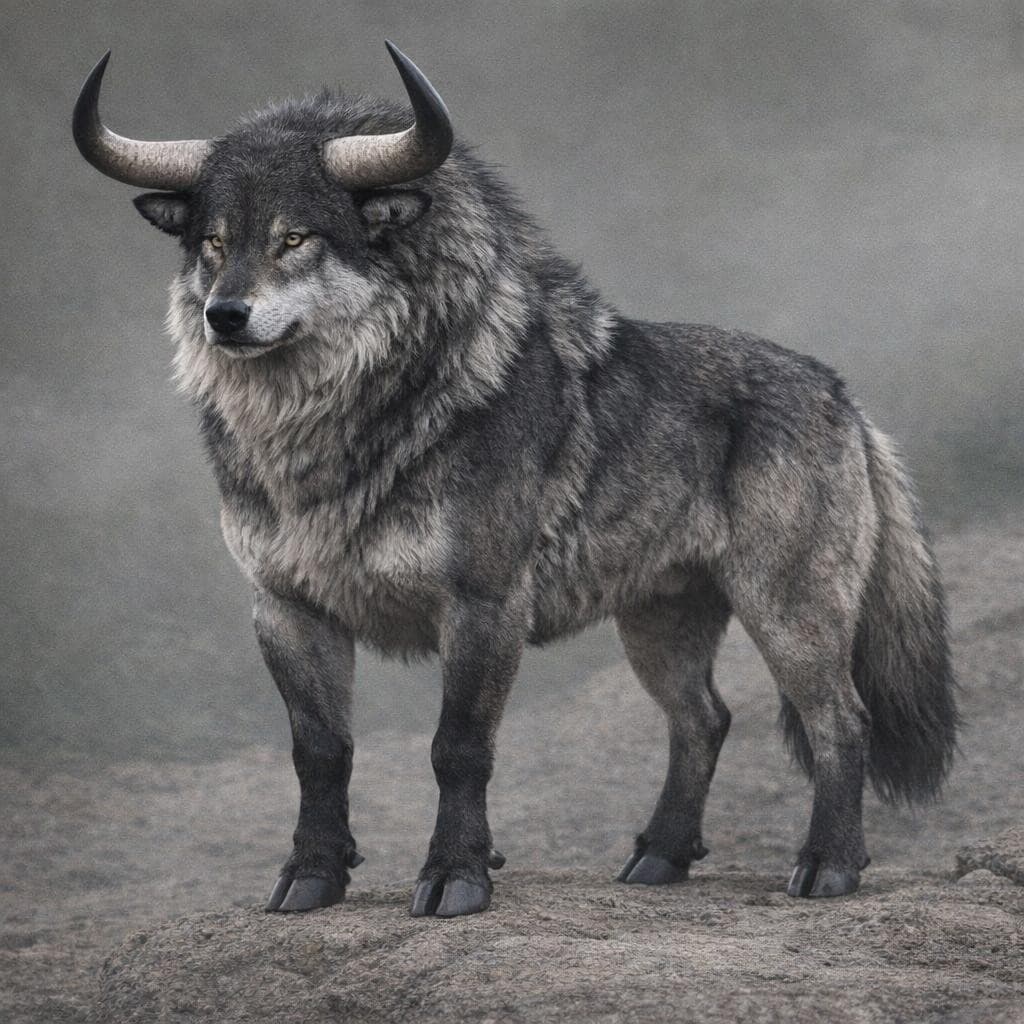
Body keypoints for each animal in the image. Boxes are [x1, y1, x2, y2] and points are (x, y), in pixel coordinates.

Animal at [73, 42, 958, 918]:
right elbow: (320, 751)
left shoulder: (483, 606)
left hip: (789, 614)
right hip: (659, 626)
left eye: (296, 238)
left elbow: (458, 747)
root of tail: (842, 394)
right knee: (704, 719)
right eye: (213, 242)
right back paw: (658, 860)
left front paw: (455, 877)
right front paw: (311, 878)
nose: (225, 315)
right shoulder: (286, 610)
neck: (329, 442)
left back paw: (827, 866)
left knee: (840, 720)